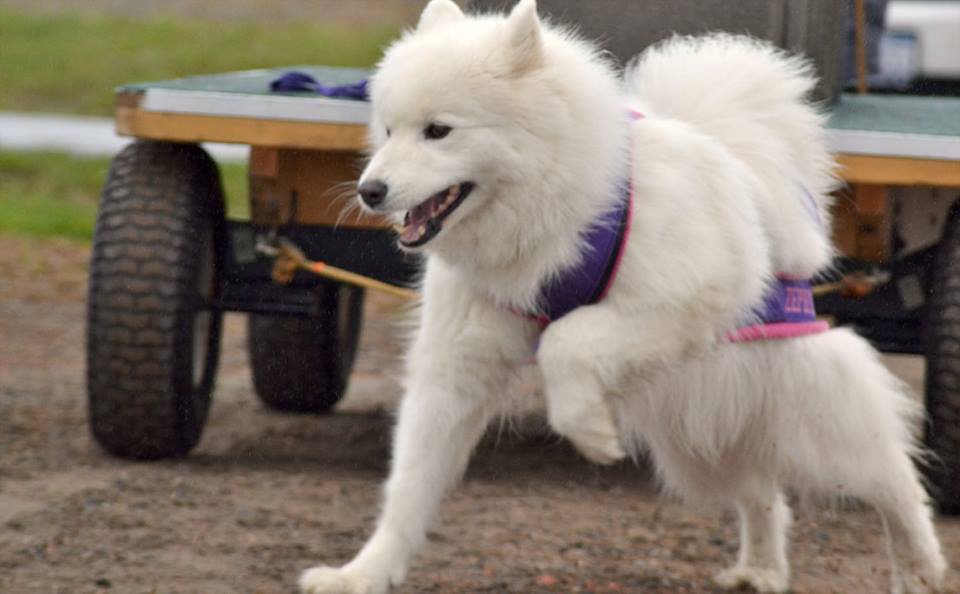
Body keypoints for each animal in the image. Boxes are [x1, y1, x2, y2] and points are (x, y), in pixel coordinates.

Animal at [300, 2, 944, 588]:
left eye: (438, 130)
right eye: (388, 129)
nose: (370, 190)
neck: (557, 211)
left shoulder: (685, 297)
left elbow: (565, 339)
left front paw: (592, 432)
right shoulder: (455, 366)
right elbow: (408, 488)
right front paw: (362, 574)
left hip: (815, 421)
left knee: (892, 480)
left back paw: (921, 565)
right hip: (699, 442)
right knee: (764, 494)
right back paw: (759, 569)